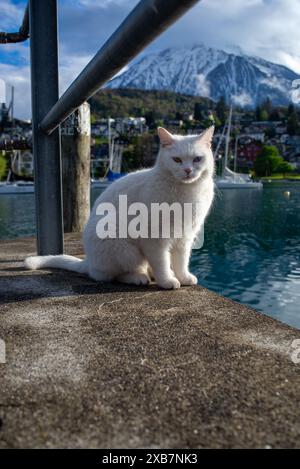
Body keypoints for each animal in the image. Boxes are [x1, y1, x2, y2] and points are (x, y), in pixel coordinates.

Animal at [24, 126, 214, 288]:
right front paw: (167, 280)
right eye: (177, 160)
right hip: (123, 247)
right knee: (110, 275)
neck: (186, 191)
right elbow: (162, 262)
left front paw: (183, 277)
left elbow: (181, 261)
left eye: (197, 159)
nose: (188, 170)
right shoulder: (155, 239)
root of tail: (89, 262)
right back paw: (138, 277)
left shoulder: (185, 237)